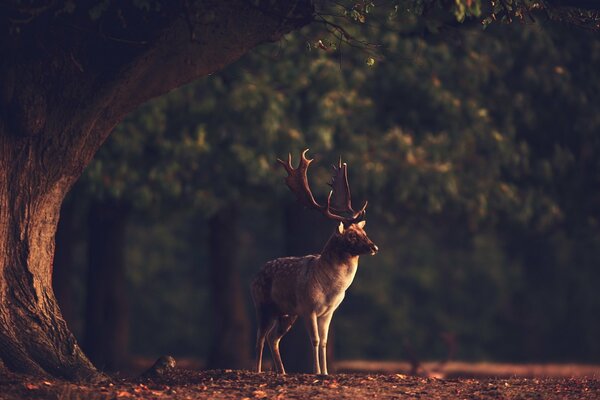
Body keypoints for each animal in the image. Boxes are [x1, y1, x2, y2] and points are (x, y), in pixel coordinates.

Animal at [251, 149, 378, 376]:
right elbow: (315, 340)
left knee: (273, 338)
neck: (331, 289)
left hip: (287, 313)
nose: (374, 247)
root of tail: (254, 276)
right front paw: (316, 371)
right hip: (263, 305)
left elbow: (325, 341)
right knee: (260, 338)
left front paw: (326, 372)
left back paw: (282, 372)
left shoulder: (328, 312)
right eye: (352, 235)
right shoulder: (308, 307)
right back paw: (258, 371)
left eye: (364, 232)